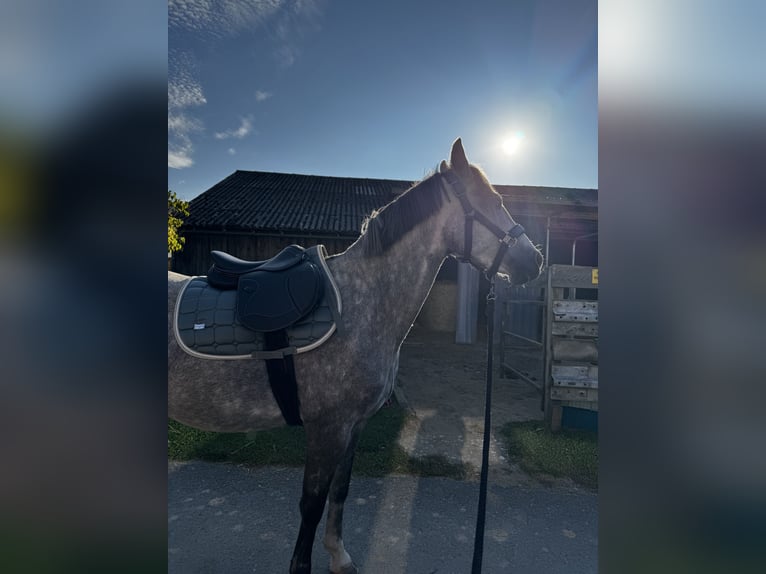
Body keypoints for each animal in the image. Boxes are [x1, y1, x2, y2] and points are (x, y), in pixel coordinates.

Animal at [168, 138, 544, 573]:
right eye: (494, 200)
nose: (535, 260)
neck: (361, 303)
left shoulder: (354, 425)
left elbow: (341, 490)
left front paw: (339, 555)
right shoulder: (326, 428)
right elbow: (311, 504)